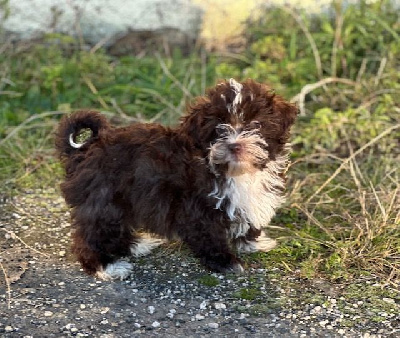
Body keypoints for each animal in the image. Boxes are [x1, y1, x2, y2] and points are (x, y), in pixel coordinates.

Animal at [55, 79, 296, 280]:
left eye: (256, 124)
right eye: (219, 128)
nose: (235, 145)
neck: (235, 172)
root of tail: (84, 151)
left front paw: (252, 242)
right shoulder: (197, 207)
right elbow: (210, 234)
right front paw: (225, 261)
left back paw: (137, 245)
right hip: (104, 200)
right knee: (91, 236)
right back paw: (104, 266)